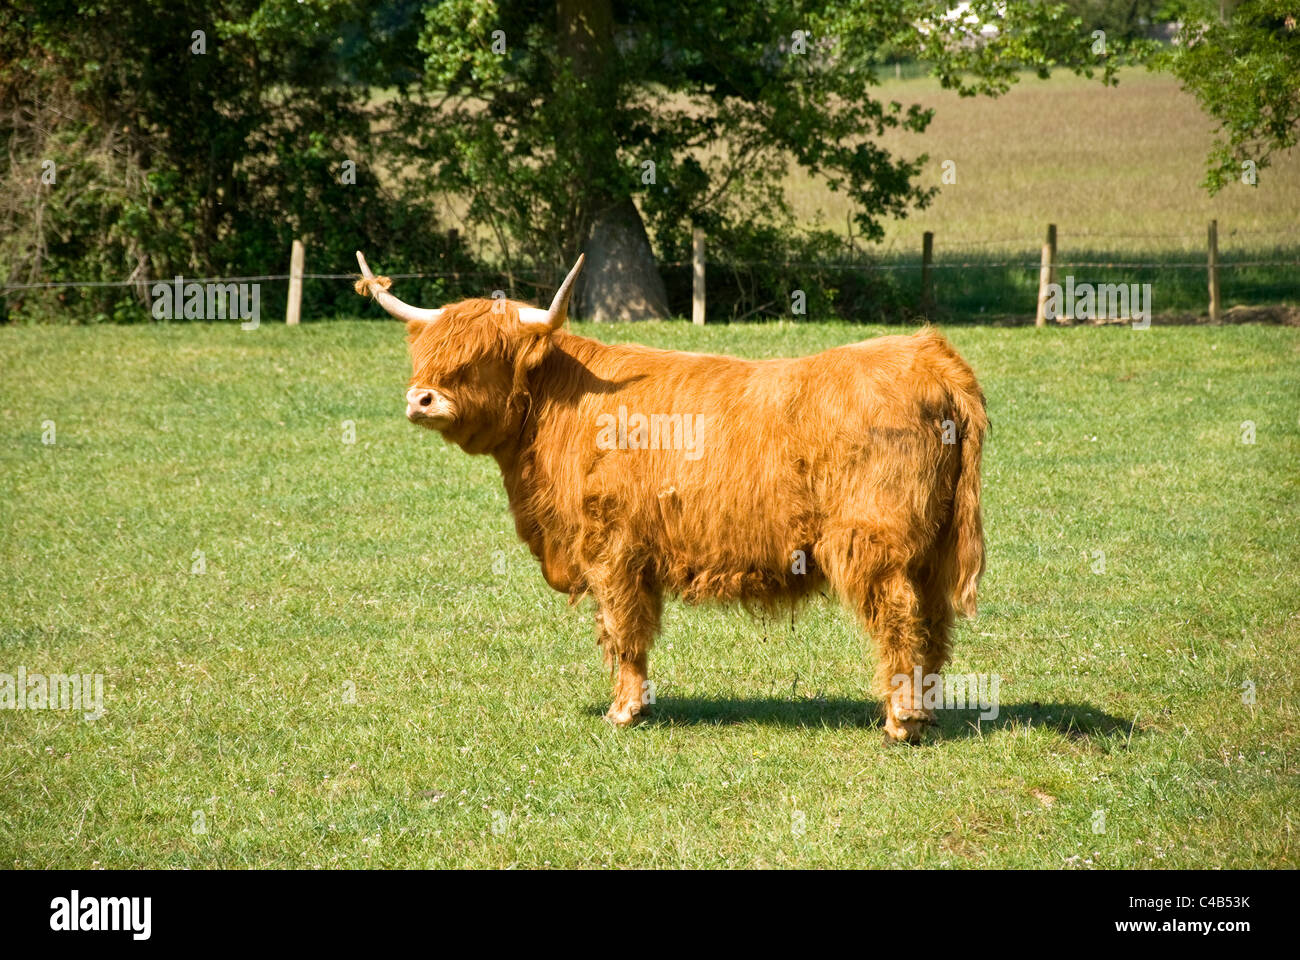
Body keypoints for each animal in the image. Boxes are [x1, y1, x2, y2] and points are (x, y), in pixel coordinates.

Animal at [355, 251, 987, 742]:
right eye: (428, 354)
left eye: (481, 356)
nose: (421, 399)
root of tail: (930, 355)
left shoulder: (611, 546)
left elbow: (621, 625)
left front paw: (624, 710)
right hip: (934, 545)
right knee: (933, 619)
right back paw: (927, 712)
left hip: (875, 538)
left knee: (899, 614)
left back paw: (902, 721)